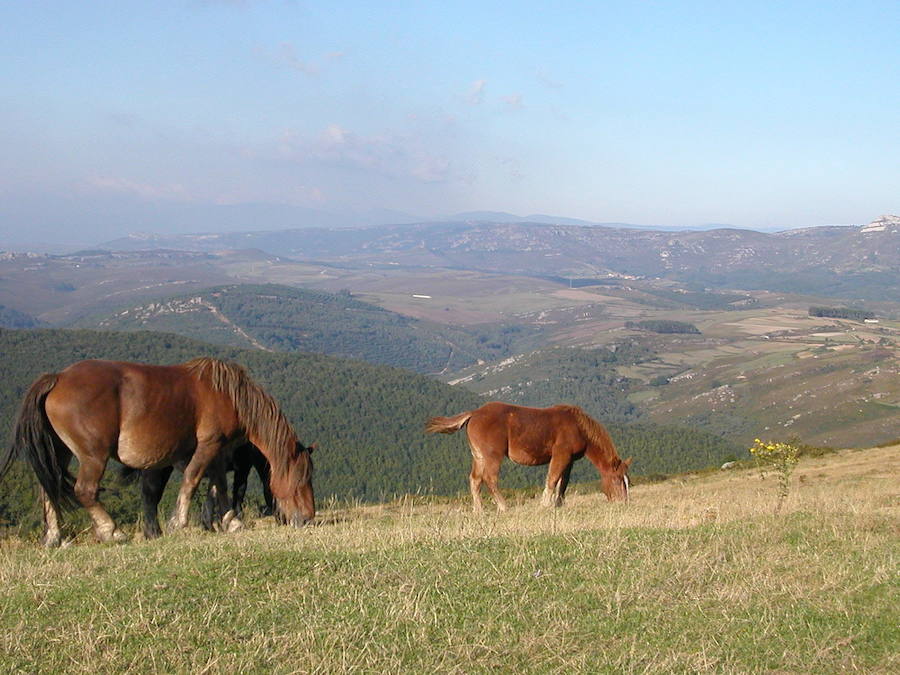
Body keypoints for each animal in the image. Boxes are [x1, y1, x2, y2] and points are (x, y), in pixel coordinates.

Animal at [0, 356, 316, 548]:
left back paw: (54, 537)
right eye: (302, 480)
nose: (308, 518)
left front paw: (229, 520)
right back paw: (112, 531)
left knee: (48, 489)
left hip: (60, 452)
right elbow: (193, 480)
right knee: (85, 491)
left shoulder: (217, 450)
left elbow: (218, 486)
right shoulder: (208, 445)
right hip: (92, 455)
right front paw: (180, 522)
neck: (229, 395)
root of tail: (57, 378)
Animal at [424, 402, 628, 512]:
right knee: (490, 479)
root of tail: (474, 413)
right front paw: (545, 505)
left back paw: (479, 510)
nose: (624, 503)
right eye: (617, 480)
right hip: (492, 456)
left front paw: (558, 504)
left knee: (475, 480)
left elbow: (563, 483)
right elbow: (552, 480)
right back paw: (503, 506)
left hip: (479, 456)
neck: (578, 426)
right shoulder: (561, 455)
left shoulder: (569, 460)